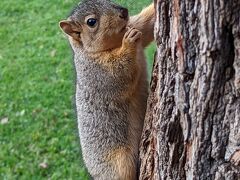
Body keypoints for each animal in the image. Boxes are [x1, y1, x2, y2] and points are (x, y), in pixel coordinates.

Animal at [59, 0, 155, 179]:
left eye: (108, 1)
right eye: (91, 22)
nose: (124, 12)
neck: (115, 43)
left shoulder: (136, 25)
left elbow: (147, 22)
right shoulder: (98, 74)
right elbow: (120, 75)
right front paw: (129, 42)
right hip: (120, 162)